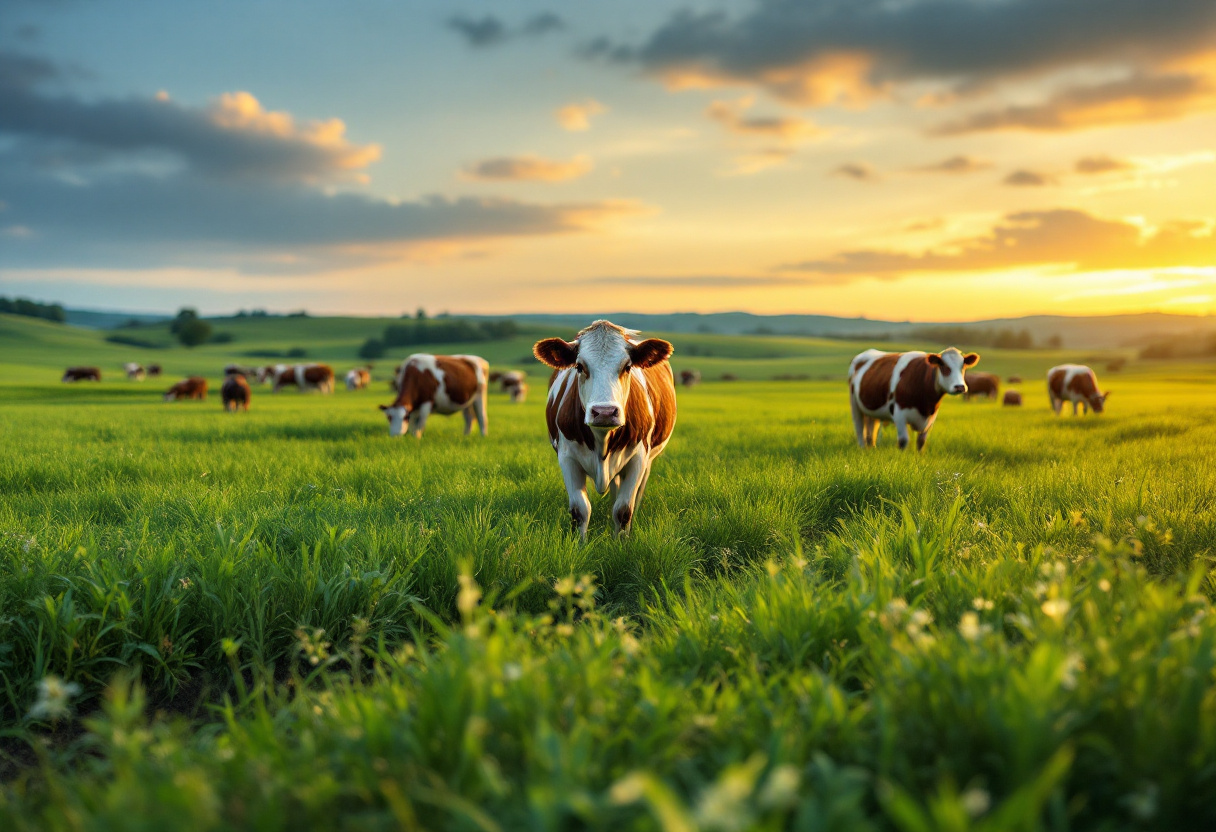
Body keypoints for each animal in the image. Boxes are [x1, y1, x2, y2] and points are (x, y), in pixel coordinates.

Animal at [535, 318, 680, 540]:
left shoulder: (638, 458)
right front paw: (580, 543)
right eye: (579, 366)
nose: (604, 412)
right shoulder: (567, 458)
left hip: (648, 461)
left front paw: (620, 543)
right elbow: (580, 510)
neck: (602, 442)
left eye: (627, 366)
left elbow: (623, 510)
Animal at [851, 345, 982, 452]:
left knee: (871, 428)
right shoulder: (899, 413)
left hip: (872, 409)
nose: (960, 386)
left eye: (963, 366)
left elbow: (921, 442)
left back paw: (871, 447)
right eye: (943, 365)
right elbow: (903, 441)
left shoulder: (931, 418)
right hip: (854, 404)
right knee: (859, 428)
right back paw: (862, 448)